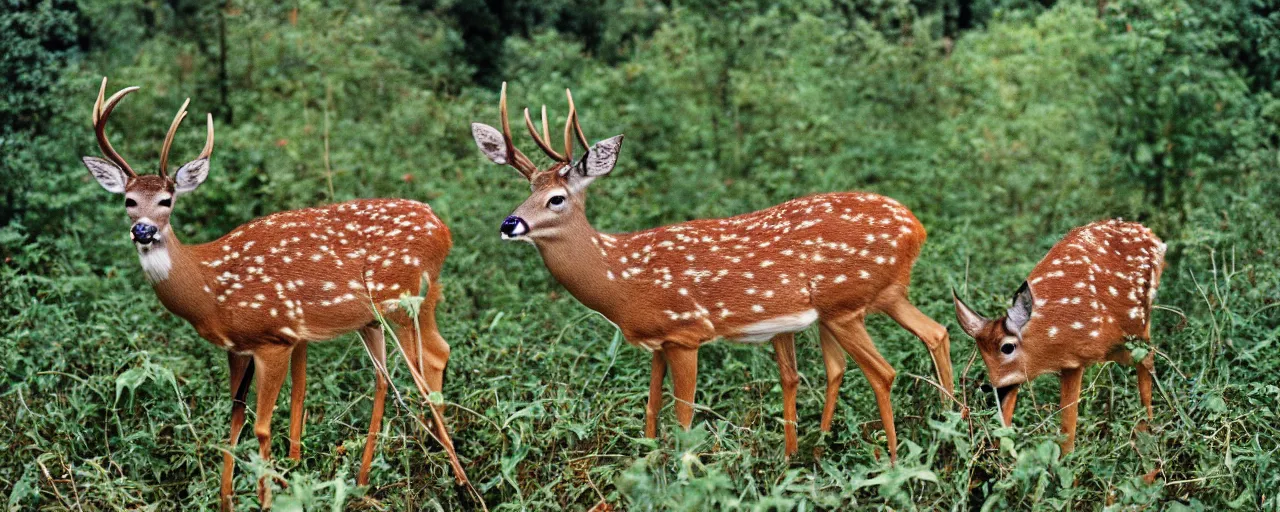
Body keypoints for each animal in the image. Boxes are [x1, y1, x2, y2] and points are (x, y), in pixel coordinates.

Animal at [78, 78, 465, 509]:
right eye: (128, 200)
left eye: (167, 200)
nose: (143, 230)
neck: (209, 289)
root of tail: (444, 230)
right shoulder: (237, 348)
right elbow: (234, 419)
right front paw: (227, 499)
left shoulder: (274, 337)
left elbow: (262, 427)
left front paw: (269, 496)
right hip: (378, 317)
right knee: (394, 373)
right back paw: (372, 479)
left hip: (402, 300)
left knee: (431, 358)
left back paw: (452, 474)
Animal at [471, 83, 952, 460]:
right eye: (526, 190)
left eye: (556, 198)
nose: (510, 224)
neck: (622, 280)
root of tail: (917, 227)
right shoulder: (657, 341)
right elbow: (650, 411)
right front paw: (644, 466)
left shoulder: (686, 333)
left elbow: (683, 418)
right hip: (877, 297)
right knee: (934, 333)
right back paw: (943, 423)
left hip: (846, 303)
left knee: (884, 371)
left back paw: (894, 460)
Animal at [952, 218, 1172, 453]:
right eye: (982, 353)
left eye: (1007, 347)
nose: (993, 388)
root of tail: (1155, 238)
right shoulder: (1066, 363)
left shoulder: (1077, 356)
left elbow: (1068, 418)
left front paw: (1067, 459)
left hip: (1138, 323)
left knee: (1147, 359)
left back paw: (1146, 433)